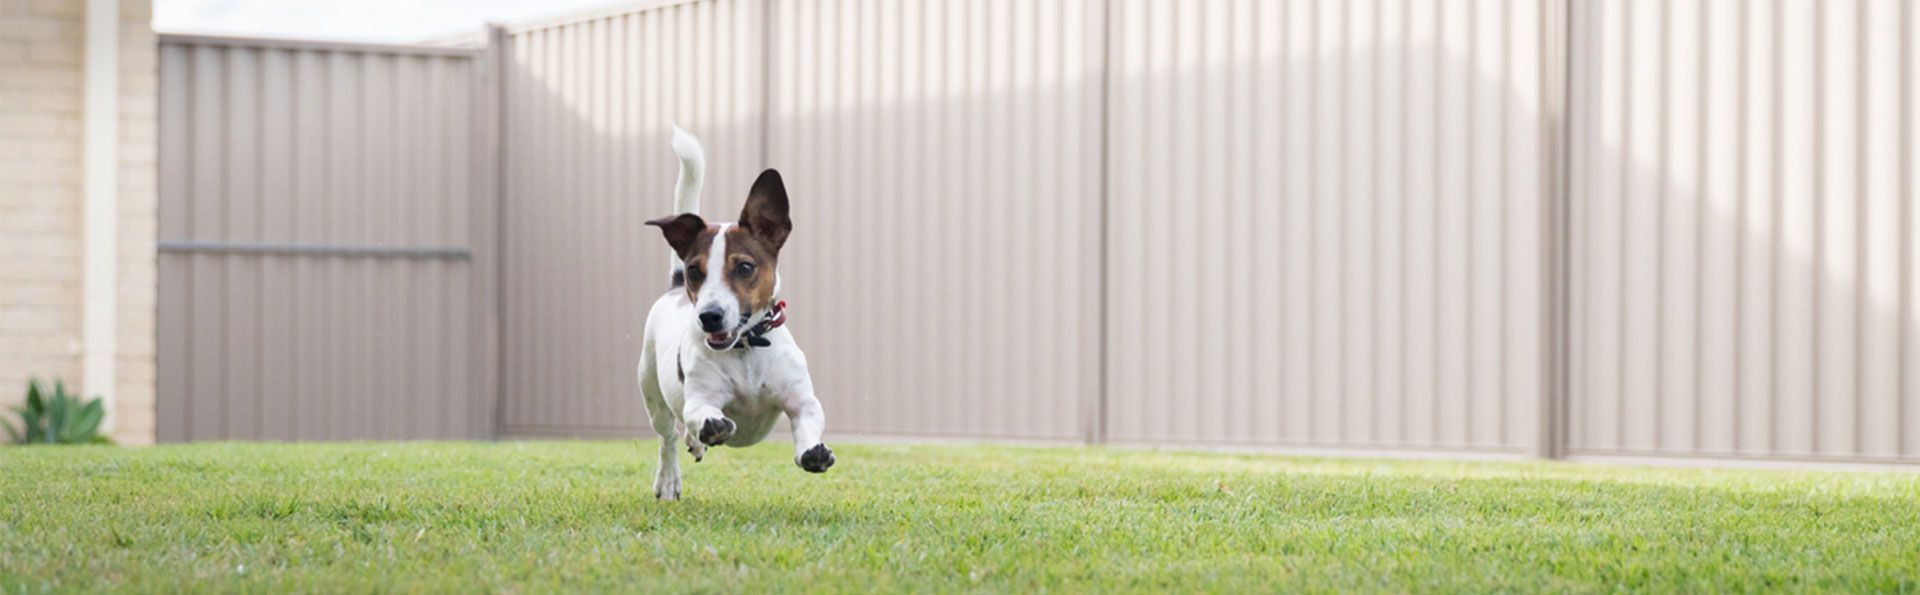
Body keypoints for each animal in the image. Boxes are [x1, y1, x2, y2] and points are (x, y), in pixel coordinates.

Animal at [637, 125, 833, 502]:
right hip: (651, 392)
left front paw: (811, 451)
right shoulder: (700, 399)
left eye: (744, 267)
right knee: (668, 436)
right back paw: (668, 479)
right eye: (696, 270)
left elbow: (808, 421)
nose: (709, 316)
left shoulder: (801, 400)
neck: (746, 348)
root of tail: (674, 287)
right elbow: (700, 414)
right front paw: (711, 428)